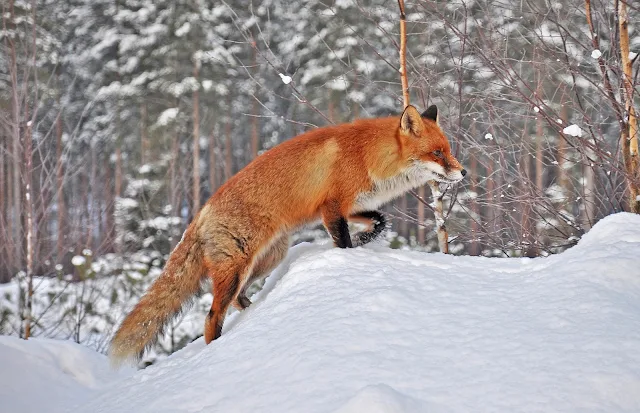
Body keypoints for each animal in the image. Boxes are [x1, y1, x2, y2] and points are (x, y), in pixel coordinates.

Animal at [109, 103, 464, 364]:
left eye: (448, 150)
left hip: (267, 259)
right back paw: (217, 351)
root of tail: (201, 213)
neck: (369, 156)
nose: (463, 172)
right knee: (212, 317)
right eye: (437, 153)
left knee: (238, 300)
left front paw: (366, 240)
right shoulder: (332, 208)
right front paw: (350, 256)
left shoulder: (348, 206)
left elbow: (380, 221)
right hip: (237, 267)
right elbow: (344, 242)